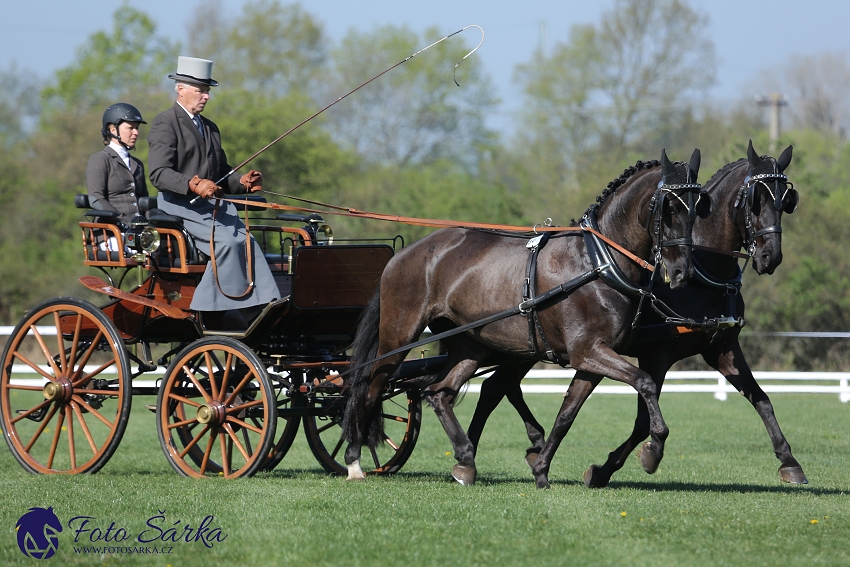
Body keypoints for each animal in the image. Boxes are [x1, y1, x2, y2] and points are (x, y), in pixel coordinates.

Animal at [464, 139, 800, 488]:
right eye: (756, 199)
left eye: (786, 201)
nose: (770, 256)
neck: (704, 272)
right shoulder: (657, 353)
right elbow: (641, 420)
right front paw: (621, 463)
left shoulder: (721, 349)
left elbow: (761, 398)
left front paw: (789, 462)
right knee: (493, 389)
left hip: (526, 347)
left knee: (495, 388)